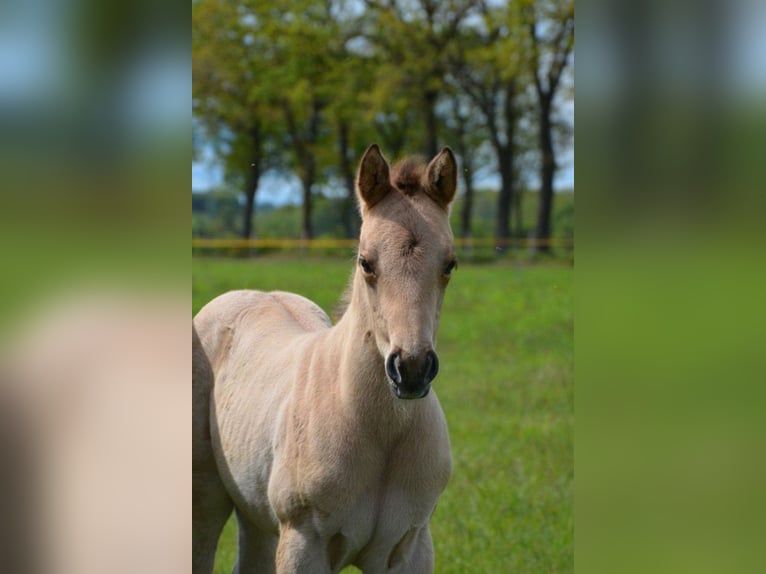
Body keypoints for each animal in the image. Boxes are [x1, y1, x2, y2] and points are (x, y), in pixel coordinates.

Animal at [193, 144, 458, 573]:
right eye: (365, 262)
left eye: (450, 263)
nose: (411, 369)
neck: (378, 431)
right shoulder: (304, 543)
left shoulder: (411, 544)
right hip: (205, 500)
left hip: (255, 514)